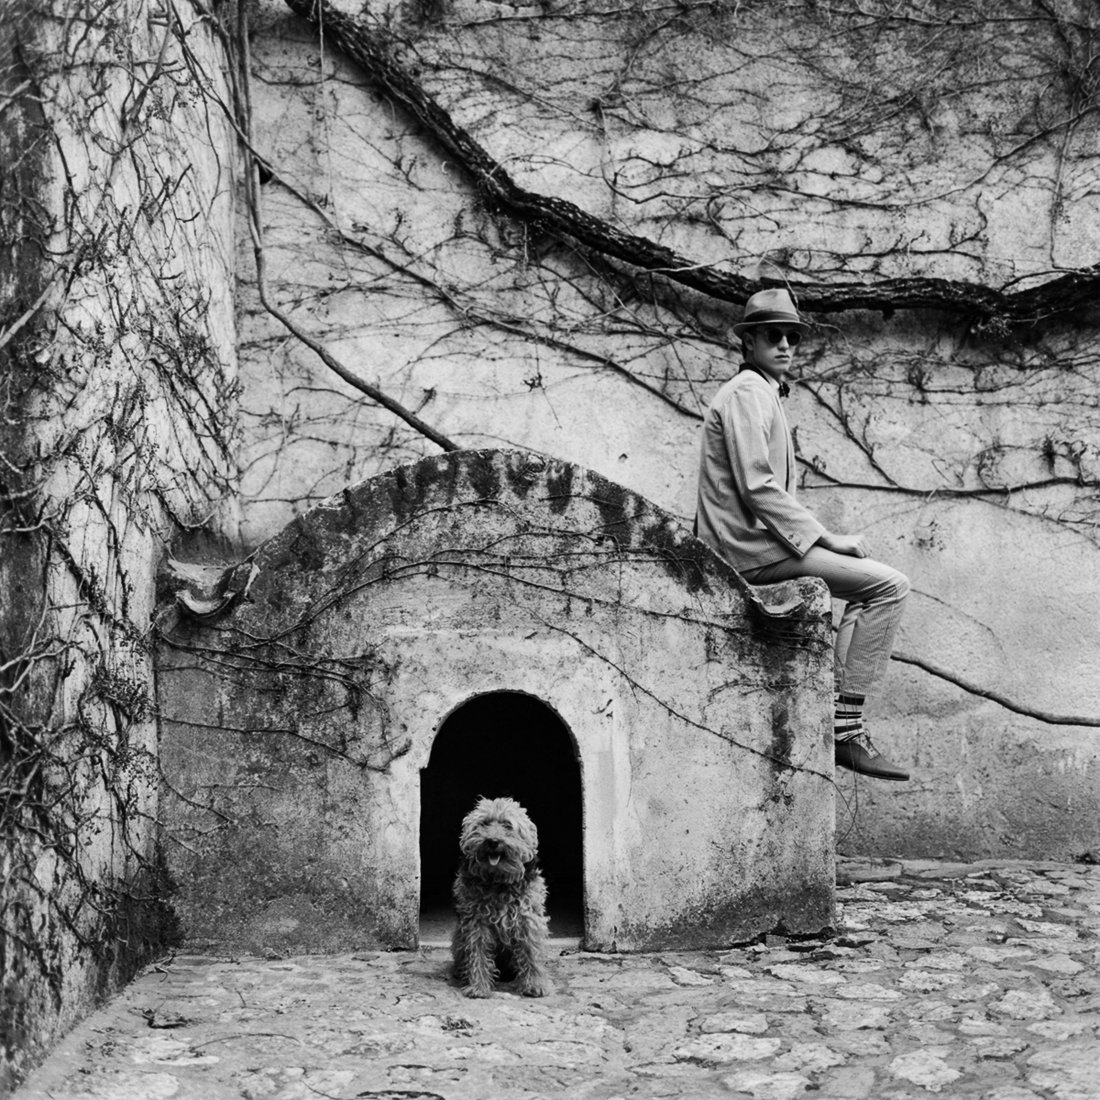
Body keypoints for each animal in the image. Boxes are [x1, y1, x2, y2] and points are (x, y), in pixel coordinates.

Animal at [451, 796, 549, 998]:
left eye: (507, 825)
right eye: (484, 823)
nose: (493, 841)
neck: (498, 880)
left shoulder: (528, 919)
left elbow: (531, 952)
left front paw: (535, 984)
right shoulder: (476, 922)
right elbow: (478, 954)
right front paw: (479, 987)